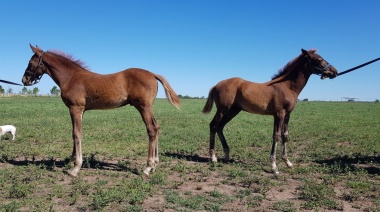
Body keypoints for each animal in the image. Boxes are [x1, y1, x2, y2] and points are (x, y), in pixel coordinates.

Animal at [21, 44, 180, 176]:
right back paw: (155, 165)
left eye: (30, 63)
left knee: (151, 129)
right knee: (157, 127)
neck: (71, 77)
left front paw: (75, 168)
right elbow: (75, 133)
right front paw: (72, 159)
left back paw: (147, 167)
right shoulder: (80, 111)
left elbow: (76, 134)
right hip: (148, 108)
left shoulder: (75, 108)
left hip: (143, 107)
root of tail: (153, 74)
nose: (24, 80)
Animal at [202, 49, 338, 174]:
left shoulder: (287, 115)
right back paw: (213, 157)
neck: (287, 86)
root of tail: (215, 85)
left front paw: (288, 162)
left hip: (233, 111)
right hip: (222, 110)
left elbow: (285, 135)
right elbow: (276, 136)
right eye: (319, 59)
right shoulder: (279, 114)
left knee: (220, 127)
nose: (334, 71)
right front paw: (274, 166)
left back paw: (226, 155)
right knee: (213, 125)